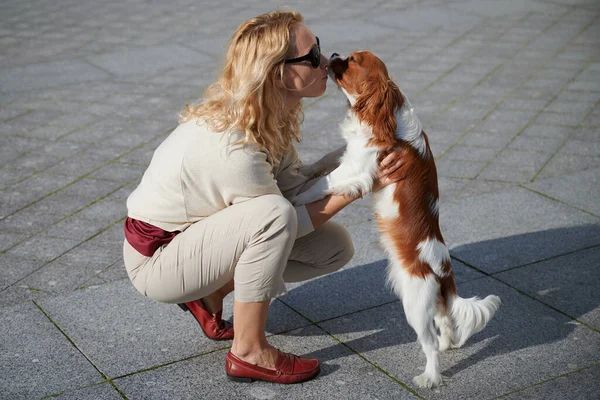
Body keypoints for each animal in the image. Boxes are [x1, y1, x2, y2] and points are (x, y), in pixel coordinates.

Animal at [292, 51, 502, 390]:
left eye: (351, 60)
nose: (333, 54)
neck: (387, 116)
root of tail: (443, 269)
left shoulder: (358, 168)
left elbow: (324, 182)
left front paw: (296, 199)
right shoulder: (352, 153)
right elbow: (329, 159)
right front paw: (306, 169)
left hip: (415, 303)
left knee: (429, 343)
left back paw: (430, 377)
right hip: (431, 301)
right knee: (445, 324)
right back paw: (448, 346)